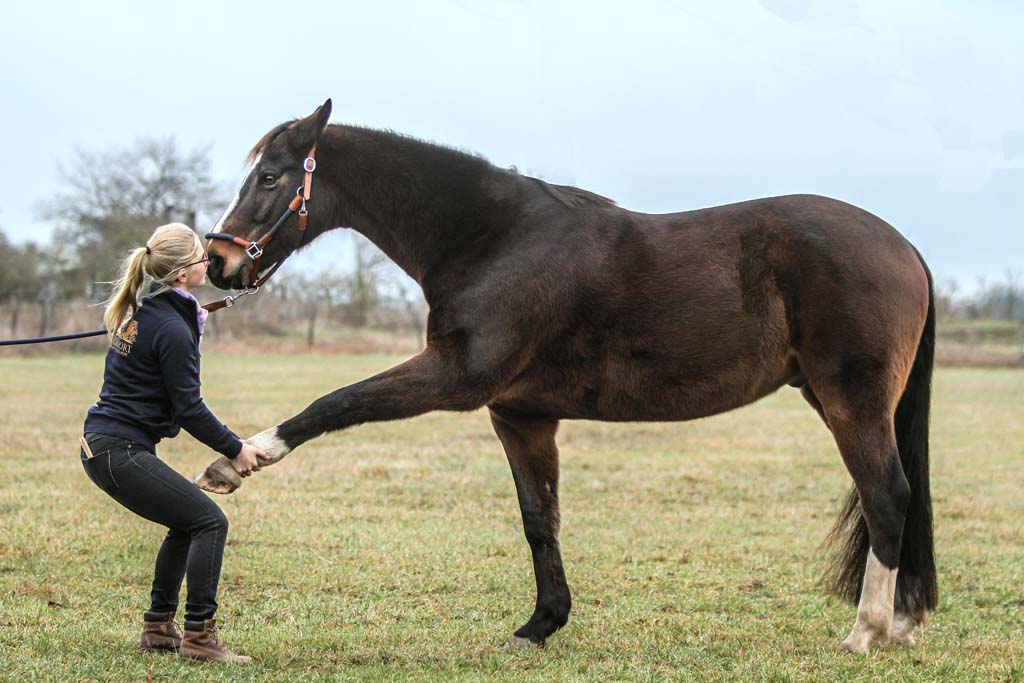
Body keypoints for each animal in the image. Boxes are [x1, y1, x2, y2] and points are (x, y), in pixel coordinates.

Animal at [193, 98, 937, 655]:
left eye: (271, 178)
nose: (220, 264)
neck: (494, 239)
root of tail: (904, 245)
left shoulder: (453, 379)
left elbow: (335, 402)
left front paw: (241, 459)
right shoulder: (520, 414)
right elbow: (539, 518)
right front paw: (541, 623)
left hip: (851, 401)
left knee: (887, 495)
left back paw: (866, 632)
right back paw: (902, 621)